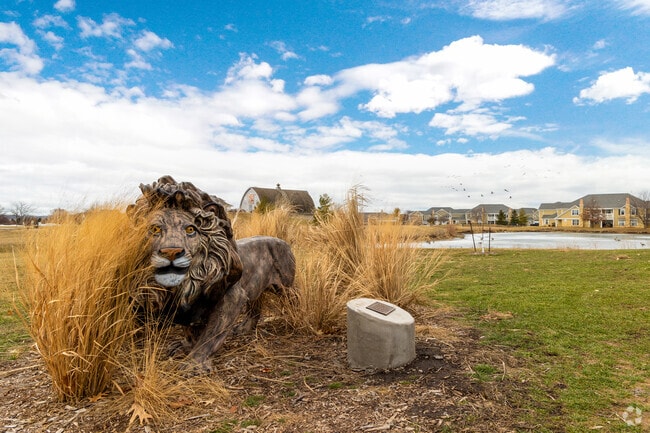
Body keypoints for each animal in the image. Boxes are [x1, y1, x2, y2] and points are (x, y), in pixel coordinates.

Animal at [129, 176, 295, 371]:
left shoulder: (232, 298)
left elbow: (211, 336)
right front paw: (183, 347)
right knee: (255, 307)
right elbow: (190, 331)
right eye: (155, 229)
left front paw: (193, 364)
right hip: (256, 289)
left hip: (286, 287)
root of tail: (283, 242)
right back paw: (244, 329)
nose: (171, 252)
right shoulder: (187, 304)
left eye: (190, 229)